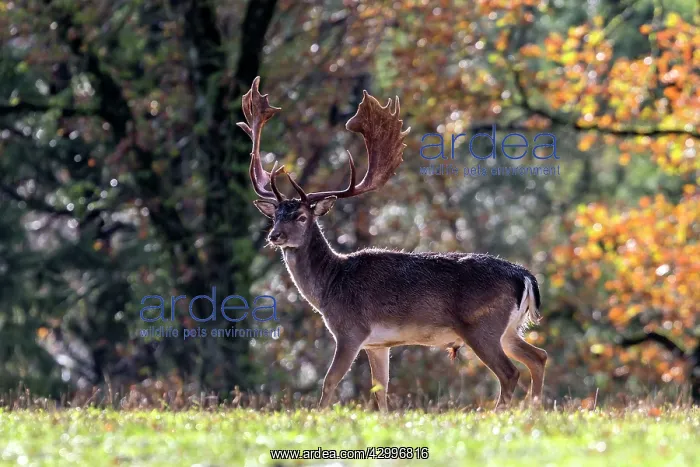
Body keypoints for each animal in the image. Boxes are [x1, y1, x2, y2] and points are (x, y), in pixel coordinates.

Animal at [237, 77, 547, 411]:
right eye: (275, 216)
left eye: (303, 217)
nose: (274, 236)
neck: (330, 285)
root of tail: (525, 276)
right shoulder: (379, 343)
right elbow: (380, 389)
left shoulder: (351, 330)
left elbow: (330, 381)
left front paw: (319, 415)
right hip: (508, 329)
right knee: (539, 357)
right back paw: (534, 409)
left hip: (482, 325)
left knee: (510, 372)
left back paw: (500, 412)